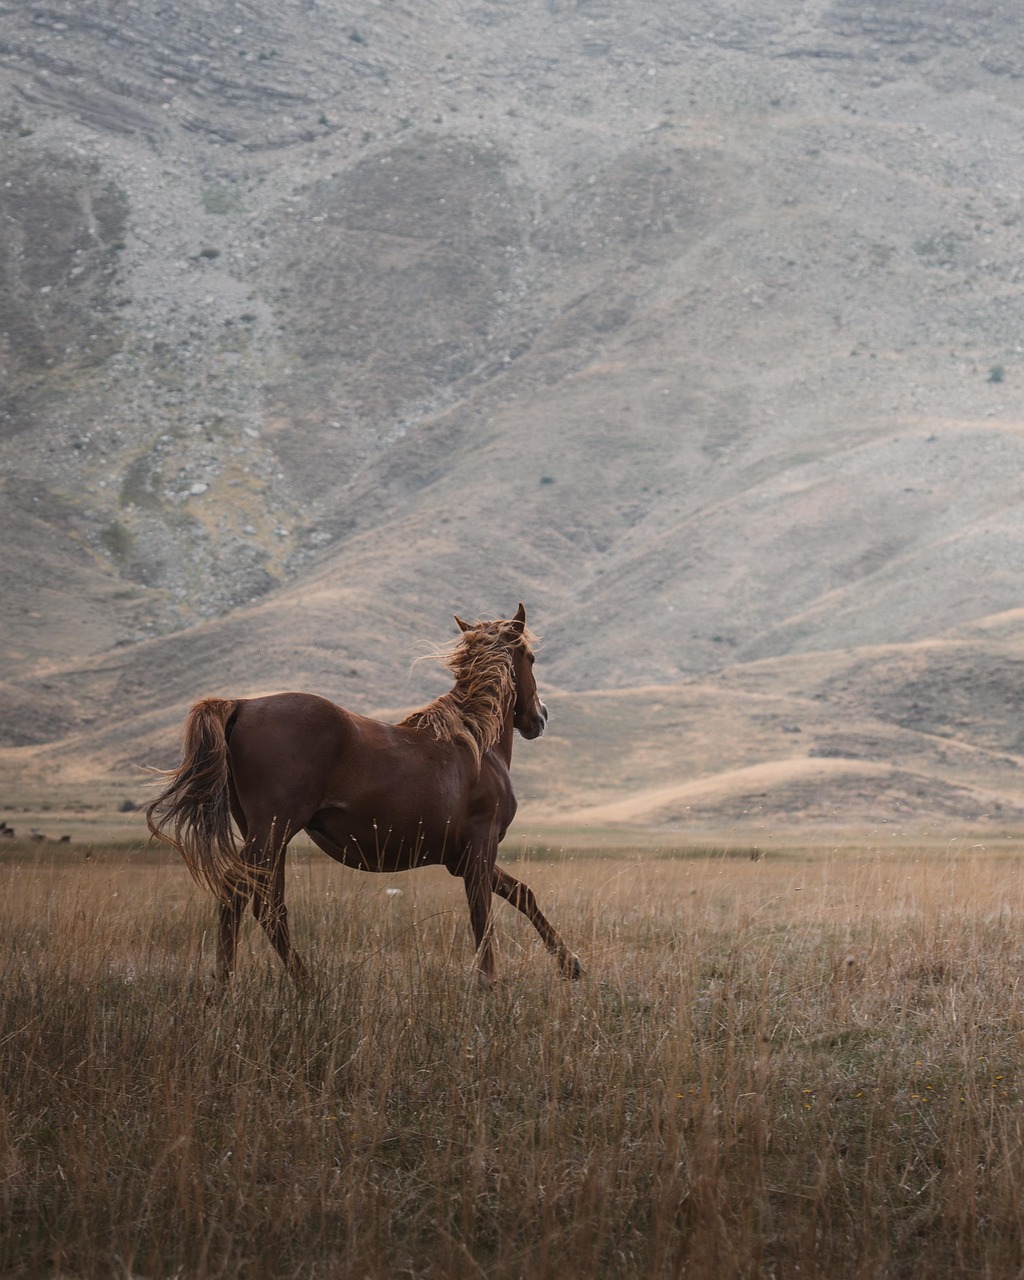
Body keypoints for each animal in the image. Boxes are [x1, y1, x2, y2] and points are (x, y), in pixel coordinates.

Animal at [146, 604, 581, 987]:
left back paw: (296, 982)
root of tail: (242, 705)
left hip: (270, 835)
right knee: (241, 895)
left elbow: (521, 894)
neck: (475, 743)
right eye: (531, 657)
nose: (539, 717)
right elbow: (483, 916)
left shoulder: (460, 858)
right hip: (272, 830)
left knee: (268, 904)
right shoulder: (480, 845)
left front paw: (570, 964)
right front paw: (489, 981)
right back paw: (236, 984)